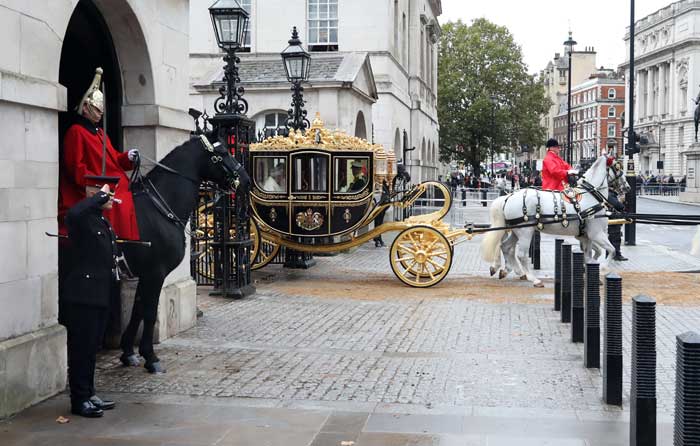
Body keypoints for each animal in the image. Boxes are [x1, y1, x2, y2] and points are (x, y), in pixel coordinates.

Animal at [115, 132, 246, 372]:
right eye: (223, 152)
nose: (247, 180)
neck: (160, 208)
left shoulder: (145, 274)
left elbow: (138, 309)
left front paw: (128, 351)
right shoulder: (155, 273)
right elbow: (149, 311)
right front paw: (150, 357)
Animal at [482, 155, 628, 288]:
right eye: (618, 167)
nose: (627, 187)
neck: (590, 195)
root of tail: (508, 197)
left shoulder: (586, 236)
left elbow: (590, 255)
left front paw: (589, 272)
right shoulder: (596, 234)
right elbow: (612, 250)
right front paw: (603, 269)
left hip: (516, 231)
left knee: (506, 247)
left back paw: (510, 271)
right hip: (525, 232)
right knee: (521, 254)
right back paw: (534, 279)